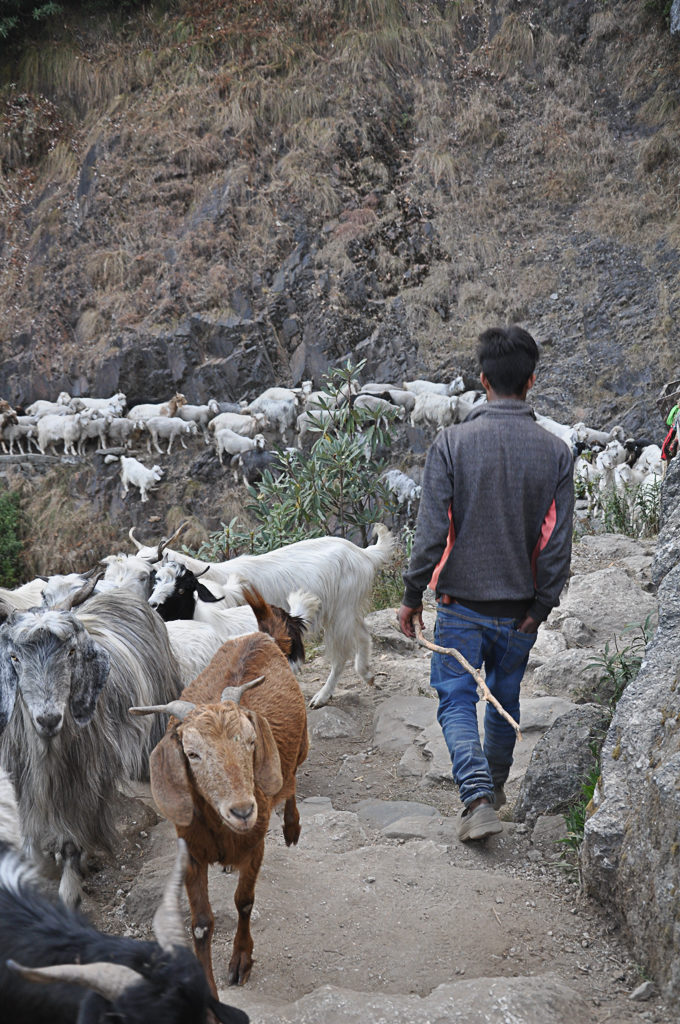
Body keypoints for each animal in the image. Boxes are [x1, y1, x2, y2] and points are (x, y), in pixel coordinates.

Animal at [0, 581, 183, 909]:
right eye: (15, 658)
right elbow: (31, 838)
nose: (48, 718)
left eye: (71, 651)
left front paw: (69, 890)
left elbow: (73, 841)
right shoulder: (20, 780)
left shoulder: (85, 780)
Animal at [129, 622, 307, 991]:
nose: (242, 811)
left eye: (252, 741)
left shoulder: (255, 845)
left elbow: (244, 902)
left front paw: (241, 961)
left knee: (291, 780)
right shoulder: (191, 852)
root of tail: (256, 635)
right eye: (192, 753)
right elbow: (200, 923)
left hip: (301, 748)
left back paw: (292, 827)